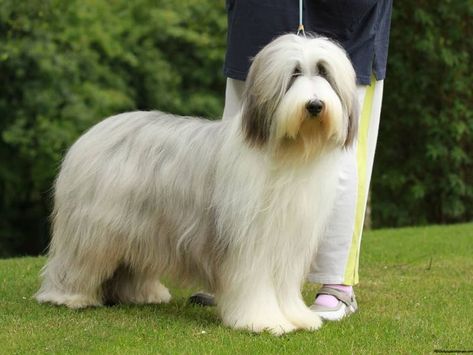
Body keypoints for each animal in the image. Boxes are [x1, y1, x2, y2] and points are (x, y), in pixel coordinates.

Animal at [35, 34, 356, 336]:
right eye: (294, 73)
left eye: (324, 72)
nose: (315, 105)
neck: (289, 153)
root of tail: (95, 131)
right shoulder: (250, 243)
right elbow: (255, 285)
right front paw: (264, 321)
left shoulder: (288, 241)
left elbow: (285, 287)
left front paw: (297, 317)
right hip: (96, 228)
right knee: (79, 260)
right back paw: (68, 296)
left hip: (140, 227)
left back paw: (143, 294)